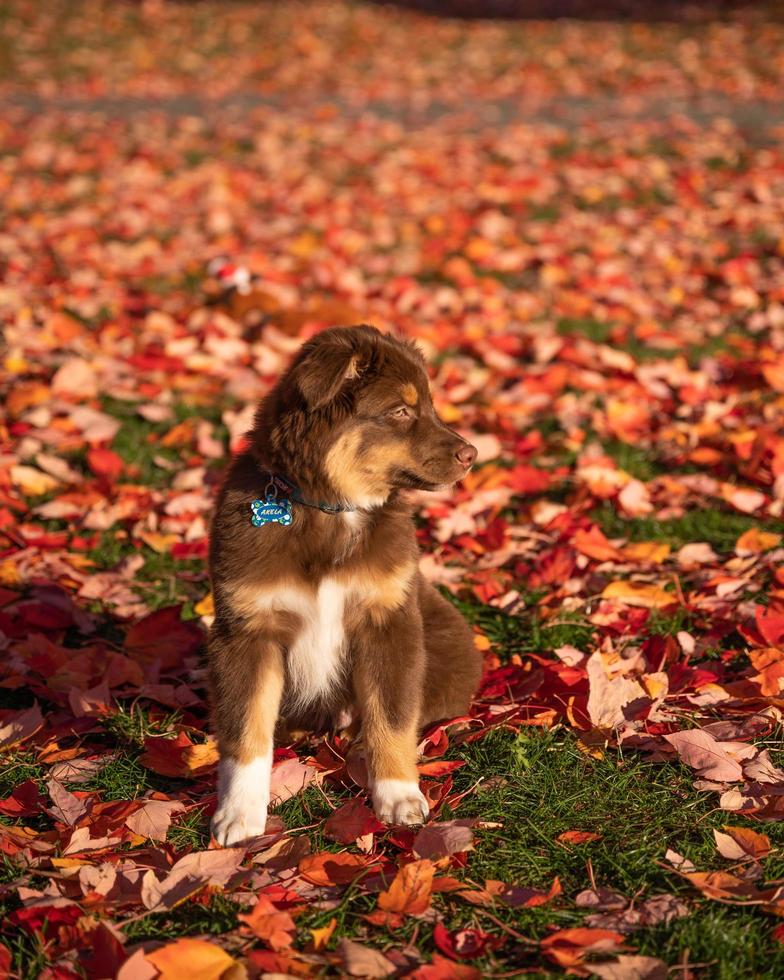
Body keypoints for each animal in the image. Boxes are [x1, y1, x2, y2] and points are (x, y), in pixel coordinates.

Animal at [208, 326, 480, 848]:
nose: (472, 455)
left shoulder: (389, 619)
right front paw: (238, 816)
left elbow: (391, 717)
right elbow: (247, 729)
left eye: (429, 406)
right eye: (401, 411)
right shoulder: (247, 629)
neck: (331, 509)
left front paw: (398, 797)